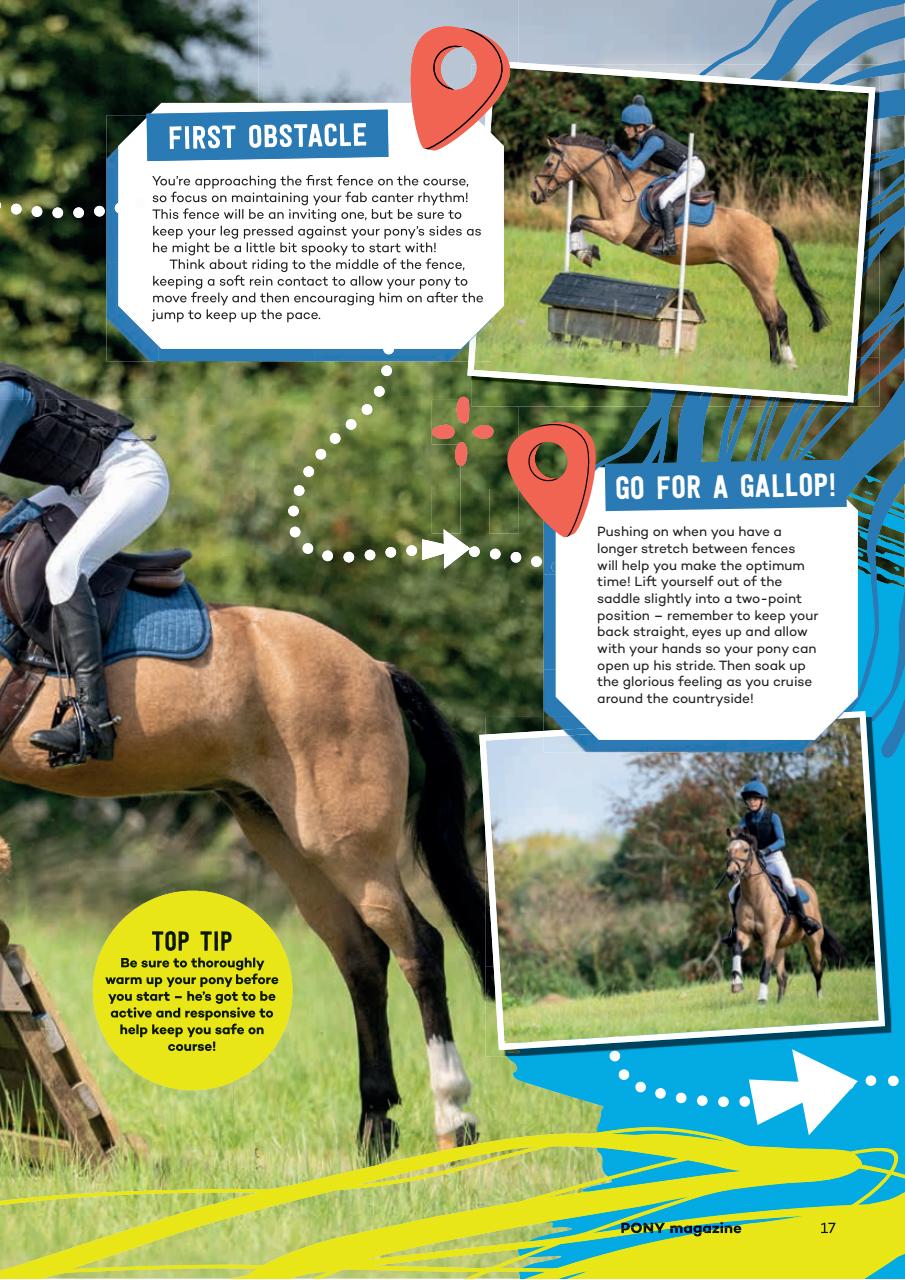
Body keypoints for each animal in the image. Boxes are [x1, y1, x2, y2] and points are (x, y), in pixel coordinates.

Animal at [0, 495, 493, 1161]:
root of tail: (373, 666)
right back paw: (374, 1127)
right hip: (279, 833)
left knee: (419, 946)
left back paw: (454, 1117)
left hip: (343, 843)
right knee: (360, 956)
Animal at [531, 133, 829, 367]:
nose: (534, 195)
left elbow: (577, 219)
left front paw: (584, 252)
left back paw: (788, 361)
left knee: (778, 316)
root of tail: (767, 227)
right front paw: (585, 251)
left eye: (548, 163)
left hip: (761, 279)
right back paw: (774, 360)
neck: (617, 184)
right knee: (768, 316)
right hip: (750, 279)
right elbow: (577, 219)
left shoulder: (616, 231)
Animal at [724, 829, 844, 1004]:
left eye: (746, 850)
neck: (754, 896)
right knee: (783, 977)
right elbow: (737, 950)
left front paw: (762, 1000)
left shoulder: (769, 936)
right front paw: (737, 984)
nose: (731, 873)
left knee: (817, 969)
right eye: (727, 850)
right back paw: (779, 1003)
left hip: (813, 942)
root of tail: (808, 886)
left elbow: (764, 970)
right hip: (780, 947)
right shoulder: (744, 933)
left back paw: (820, 998)